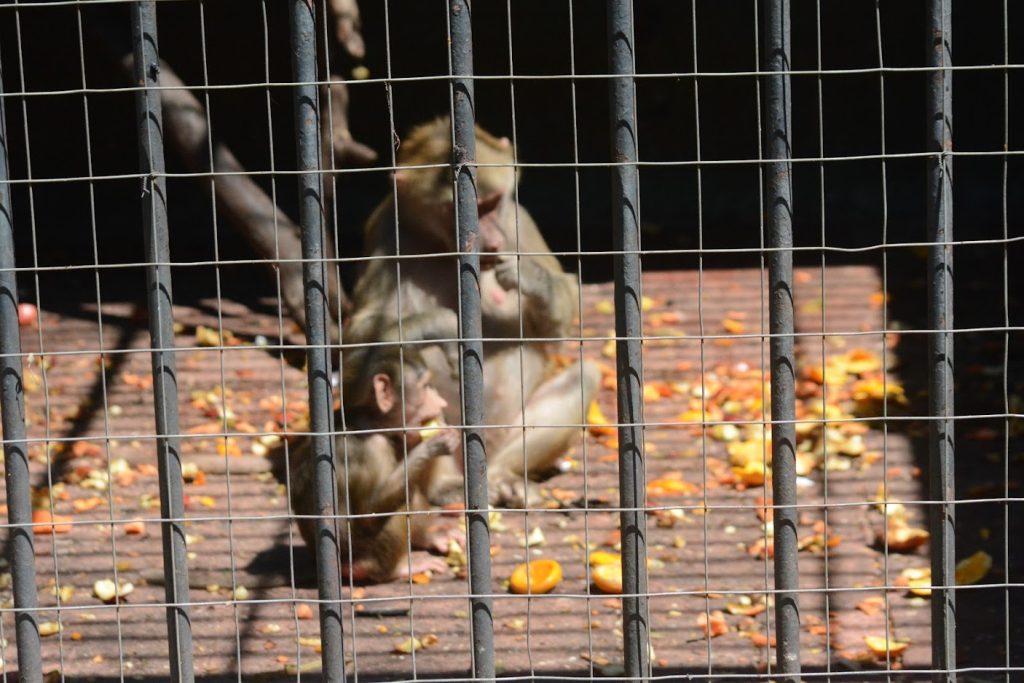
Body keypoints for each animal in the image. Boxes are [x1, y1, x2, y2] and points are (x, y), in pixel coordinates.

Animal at [288, 343, 463, 582]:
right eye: (426, 387)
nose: (441, 402)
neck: (371, 422)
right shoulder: (372, 448)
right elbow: (367, 515)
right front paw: (433, 446)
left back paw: (428, 537)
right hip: (366, 559)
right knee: (401, 502)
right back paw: (399, 568)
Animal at [348, 117, 601, 508]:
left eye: (493, 204)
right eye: (468, 211)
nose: (493, 243)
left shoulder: (518, 222)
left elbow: (561, 317)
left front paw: (533, 279)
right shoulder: (385, 233)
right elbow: (357, 351)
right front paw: (434, 324)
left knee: (582, 376)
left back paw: (502, 479)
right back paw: (447, 486)